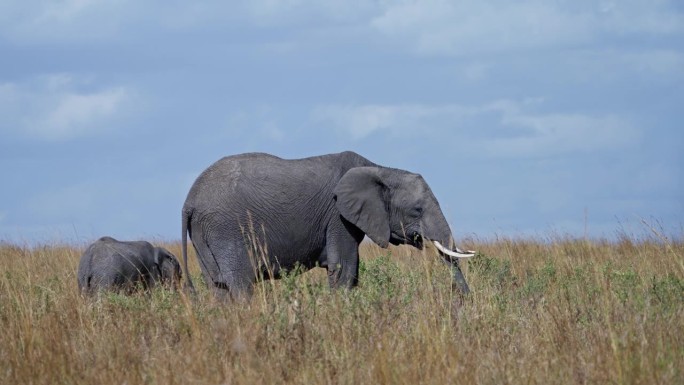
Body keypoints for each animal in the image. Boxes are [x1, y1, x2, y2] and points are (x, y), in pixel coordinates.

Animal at [179, 151, 472, 300]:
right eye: (417, 209)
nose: (465, 299)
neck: (379, 169)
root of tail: (189, 202)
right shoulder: (337, 216)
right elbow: (344, 269)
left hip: (205, 233)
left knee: (218, 286)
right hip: (226, 228)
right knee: (240, 283)